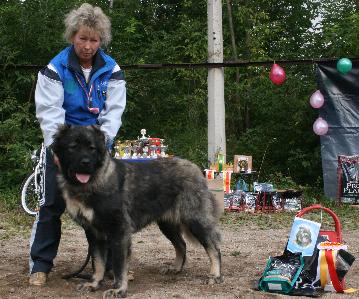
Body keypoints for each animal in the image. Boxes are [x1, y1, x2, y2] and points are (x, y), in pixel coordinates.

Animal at [52, 125, 224, 298]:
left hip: (195, 220)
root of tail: (195, 168)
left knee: (213, 248)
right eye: (73, 147)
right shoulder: (94, 233)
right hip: (167, 224)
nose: (85, 163)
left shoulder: (119, 231)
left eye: (92, 148)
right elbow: (98, 261)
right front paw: (94, 284)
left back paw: (215, 275)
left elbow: (119, 265)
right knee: (181, 244)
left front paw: (118, 289)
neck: (94, 182)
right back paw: (175, 268)